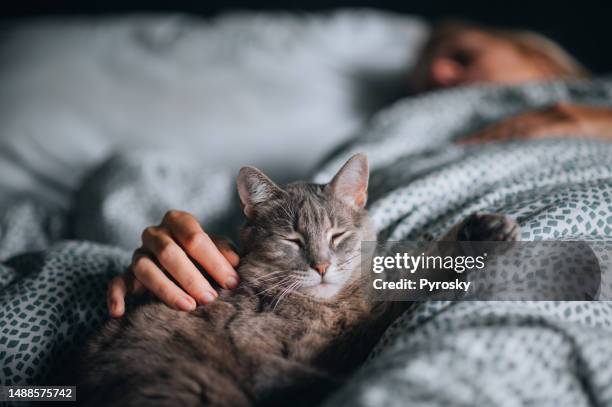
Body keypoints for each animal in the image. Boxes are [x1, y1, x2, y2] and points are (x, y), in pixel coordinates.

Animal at [75, 155, 516, 406]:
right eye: (293, 240)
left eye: (337, 236)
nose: (321, 266)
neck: (331, 307)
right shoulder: (263, 357)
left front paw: (480, 231)